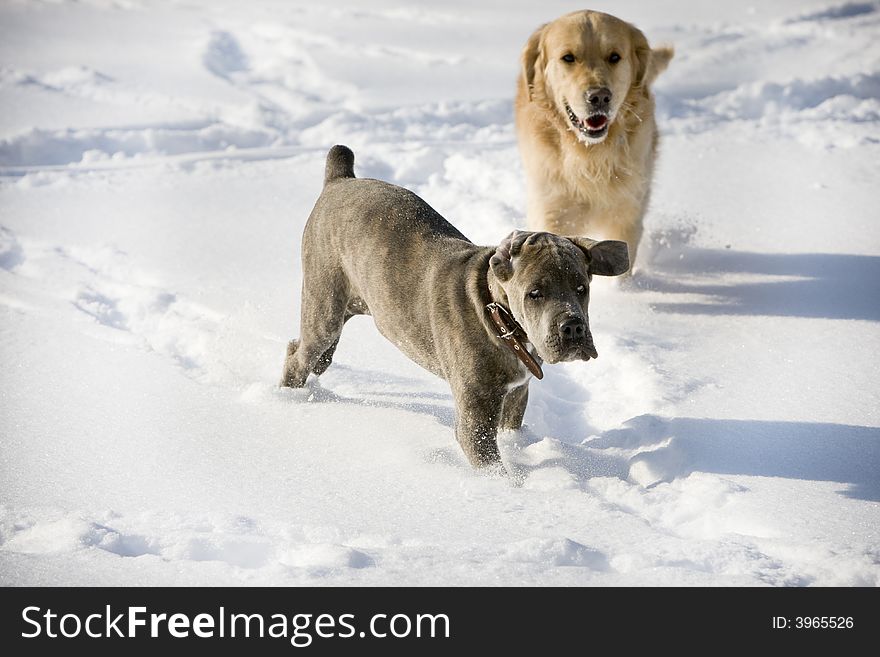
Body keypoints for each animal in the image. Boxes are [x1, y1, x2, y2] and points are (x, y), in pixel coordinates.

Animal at [278, 145, 628, 468]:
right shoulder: (476, 418)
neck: (501, 321)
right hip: (323, 304)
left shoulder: (516, 396)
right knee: (299, 356)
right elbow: (493, 467)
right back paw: (286, 400)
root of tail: (339, 180)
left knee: (314, 355)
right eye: (535, 293)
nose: (573, 326)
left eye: (582, 288)